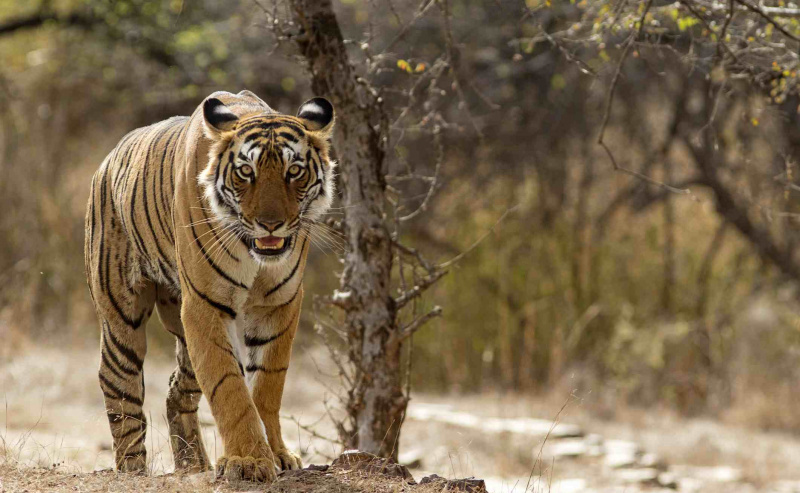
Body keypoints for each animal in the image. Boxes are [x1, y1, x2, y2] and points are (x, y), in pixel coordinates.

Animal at [84, 90, 335, 482]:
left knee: (177, 391)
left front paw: (277, 454)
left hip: (183, 337)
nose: (270, 224)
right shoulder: (205, 305)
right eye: (246, 172)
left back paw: (192, 464)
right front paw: (248, 461)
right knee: (119, 387)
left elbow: (267, 385)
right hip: (121, 317)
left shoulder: (278, 303)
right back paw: (133, 469)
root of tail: (108, 160)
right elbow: (228, 386)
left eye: (294, 171)